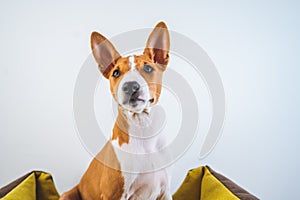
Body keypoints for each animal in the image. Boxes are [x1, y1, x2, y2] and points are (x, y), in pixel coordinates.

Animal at [60, 21, 171, 199]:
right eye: (116, 73)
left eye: (148, 69)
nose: (130, 86)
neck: (143, 131)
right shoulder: (114, 194)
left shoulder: (165, 191)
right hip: (67, 195)